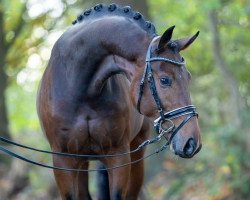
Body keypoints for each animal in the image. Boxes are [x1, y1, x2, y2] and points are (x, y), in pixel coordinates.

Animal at [36, 3, 201, 200]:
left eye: (188, 77)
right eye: (164, 80)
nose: (192, 143)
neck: (79, 88)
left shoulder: (118, 155)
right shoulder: (63, 160)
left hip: (136, 155)